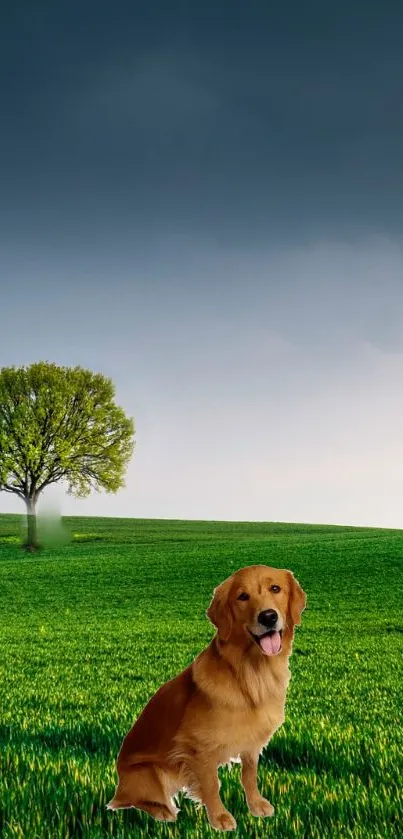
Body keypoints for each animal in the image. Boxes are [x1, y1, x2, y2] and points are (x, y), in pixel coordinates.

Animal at [106, 564, 306, 832]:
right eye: (243, 597)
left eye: (276, 588)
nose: (268, 617)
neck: (252, 675)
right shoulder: (198, 748)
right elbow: (211, 784)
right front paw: (219, 817)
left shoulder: (251, 742)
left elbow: (249, 776)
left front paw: (255, 805)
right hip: (149, 774)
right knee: (135, 801)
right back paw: (163, 811)